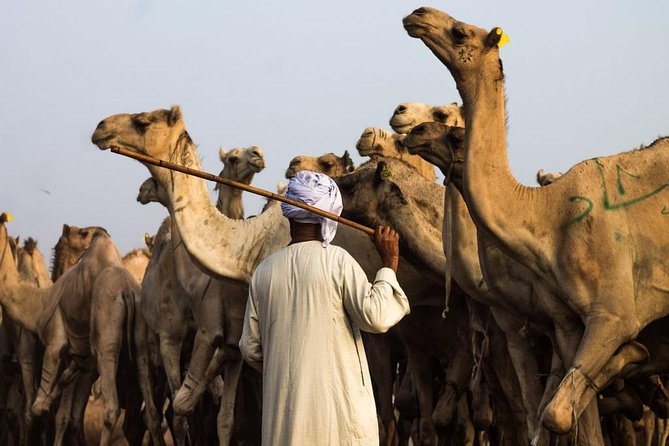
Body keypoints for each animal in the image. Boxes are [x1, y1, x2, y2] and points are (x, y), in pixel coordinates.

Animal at [402, 6, 668, 436]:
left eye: (460, 33)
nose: (418, 13)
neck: (544, 212)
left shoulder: (612, 313)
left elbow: (556, 413)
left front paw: (632, 355)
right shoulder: (567, 324)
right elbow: (571, 418)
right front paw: (631, 358)